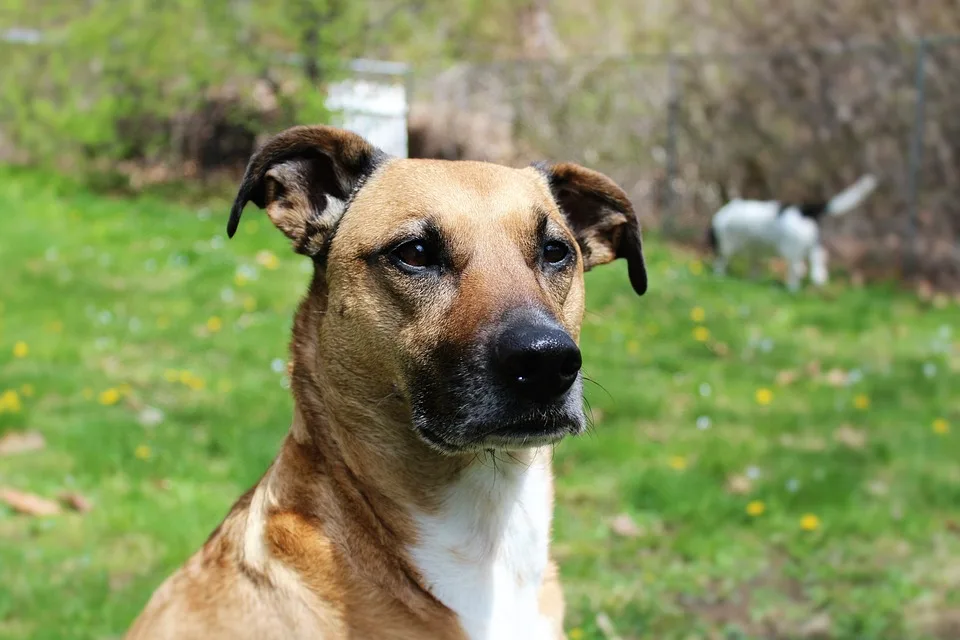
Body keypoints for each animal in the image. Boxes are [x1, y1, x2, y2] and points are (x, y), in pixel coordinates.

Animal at [704, 174, 876, 292]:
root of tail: (804, 211)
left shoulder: (727, 245)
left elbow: (722, 262)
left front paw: (719, 276)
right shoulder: (755, 251)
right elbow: (754, 266)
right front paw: (752, 281)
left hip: (791, 249)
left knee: (797, 268)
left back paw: (792, 289)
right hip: (812, 243)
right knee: (818, 259)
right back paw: (818, 280)